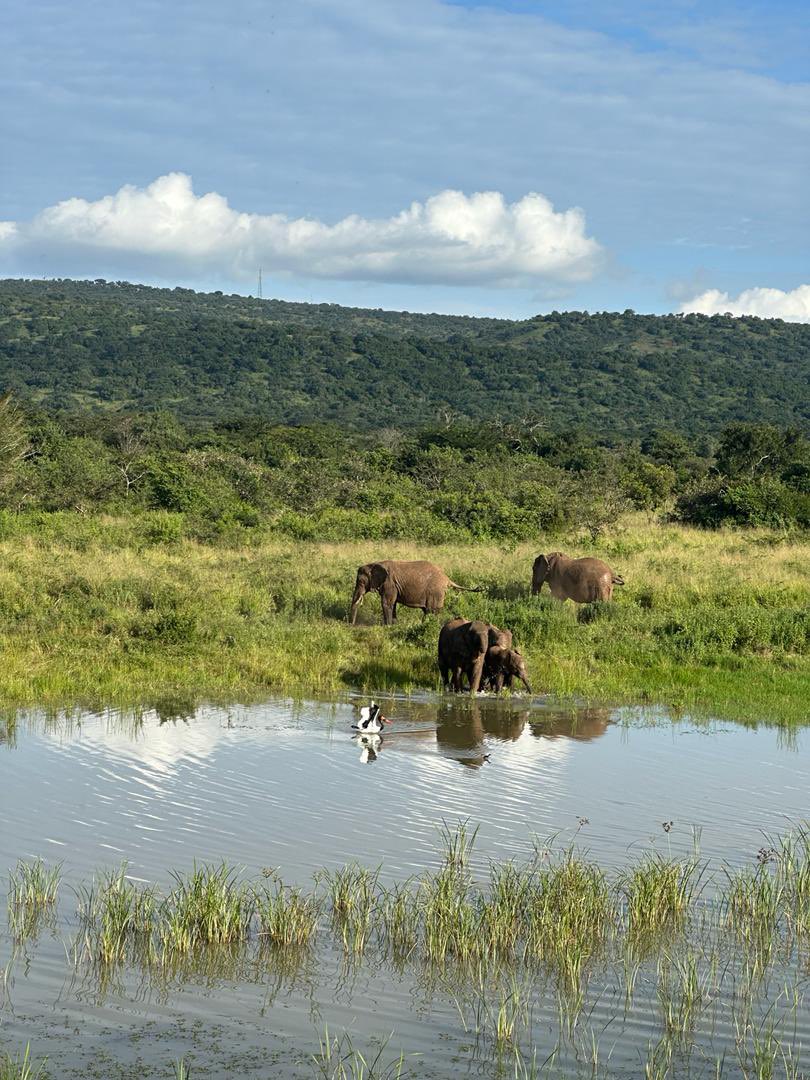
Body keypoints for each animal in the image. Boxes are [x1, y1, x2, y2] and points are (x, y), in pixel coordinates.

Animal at [349, 557, 481, 626]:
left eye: (361, 582)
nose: (351, 625)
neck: (374, 564)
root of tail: (447, 578)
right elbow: (393, 604)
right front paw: (394, 625)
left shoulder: (389, 583)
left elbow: (386, 603)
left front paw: (387, 626)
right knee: (428, 611)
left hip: (435, 592)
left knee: (431, 611)